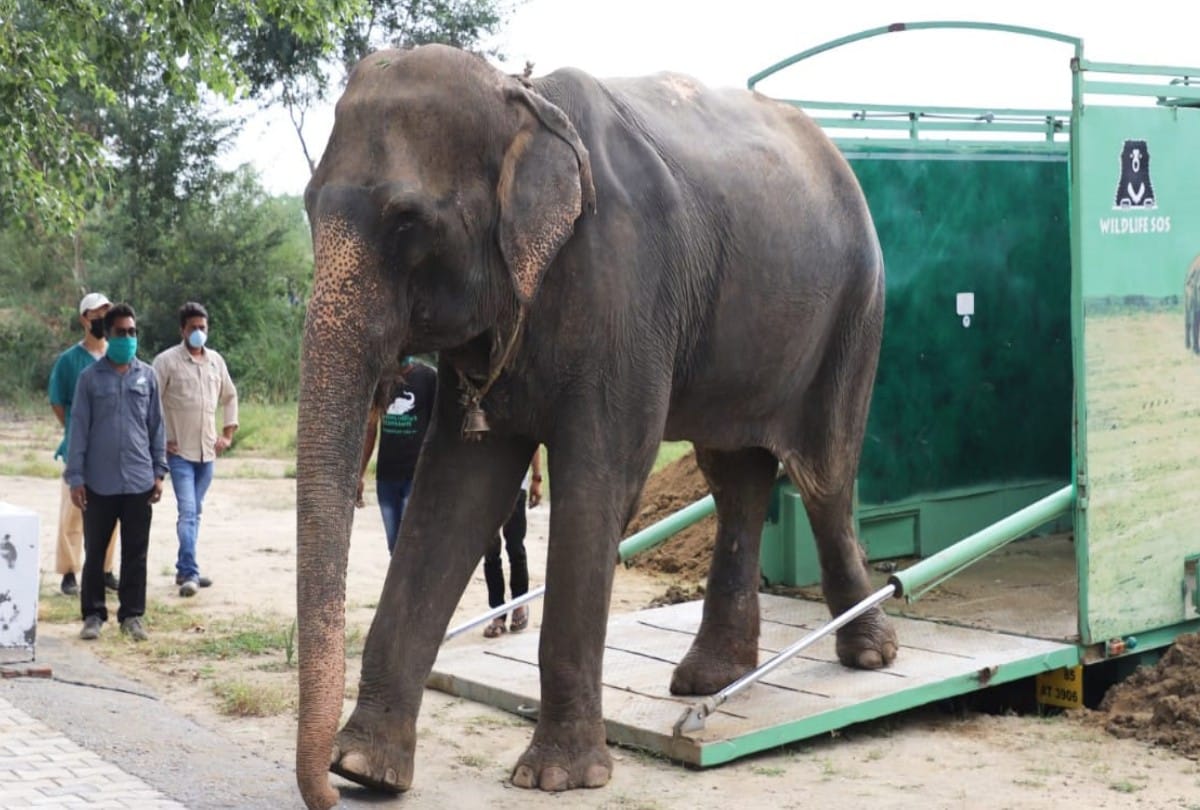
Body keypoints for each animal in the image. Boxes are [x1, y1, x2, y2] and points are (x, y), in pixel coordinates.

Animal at [296, 44, 895, 809]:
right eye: (307, 205)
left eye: (406, 220)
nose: (325, 793)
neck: (521, 99)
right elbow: (457, 488)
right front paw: (364, 769)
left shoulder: (627, 287)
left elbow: (601, 476)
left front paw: (556, 778)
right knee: (736, 476)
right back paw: (708, 679)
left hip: (856, 306)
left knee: (824, 473)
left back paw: (870, 654)